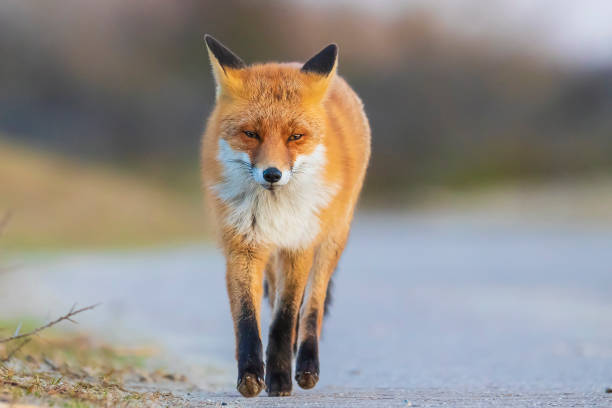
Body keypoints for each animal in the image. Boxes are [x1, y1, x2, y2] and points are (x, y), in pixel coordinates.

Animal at [203, 35, 370, 398]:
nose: (272, 174)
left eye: (295, 136)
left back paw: (306, 365)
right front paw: (251, 376)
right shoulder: (243, 246)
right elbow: (247, 320)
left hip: (331, 241)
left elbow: (284, 318)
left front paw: (279, 377)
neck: (274, 210)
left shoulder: (299, 246)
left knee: (312, 308)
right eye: (250, 134)